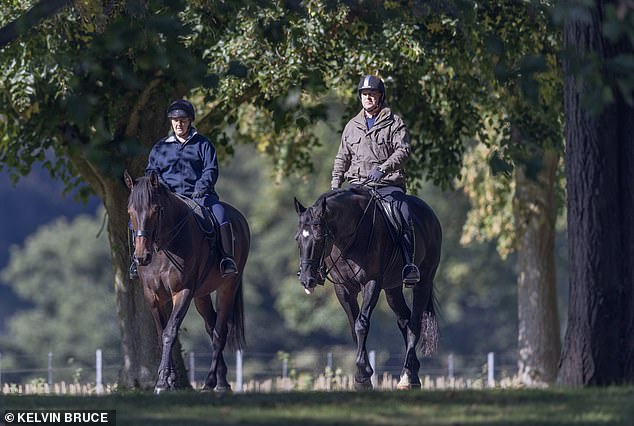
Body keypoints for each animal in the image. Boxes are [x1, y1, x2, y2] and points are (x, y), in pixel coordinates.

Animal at [123, 169, 249, 392]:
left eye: (156, 210)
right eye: (130, 212)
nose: (141, 257)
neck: (164, 248)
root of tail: (240, 218)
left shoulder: (182, 292)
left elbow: (170, 332)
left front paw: (163, 381)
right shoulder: (153, 296)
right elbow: (161, 333)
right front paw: (169, 379)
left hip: (228, 287)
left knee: (220, 332)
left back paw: (213, 382)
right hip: (202, 295)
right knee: (211, 327)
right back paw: (220, 380)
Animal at [292, 186, 436, 390]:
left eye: (319, 237)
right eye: (298, 239)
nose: (306, 279)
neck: (349, 237)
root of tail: (429, 213)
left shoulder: (372, 283)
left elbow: (361, 324)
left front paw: (362, 376)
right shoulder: (343, 290)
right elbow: (354, 327)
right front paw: (363, 374)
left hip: (423, 281)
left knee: (415, 322)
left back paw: (410, 377)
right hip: (393, 289)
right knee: (405, 320)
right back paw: (409, 373)